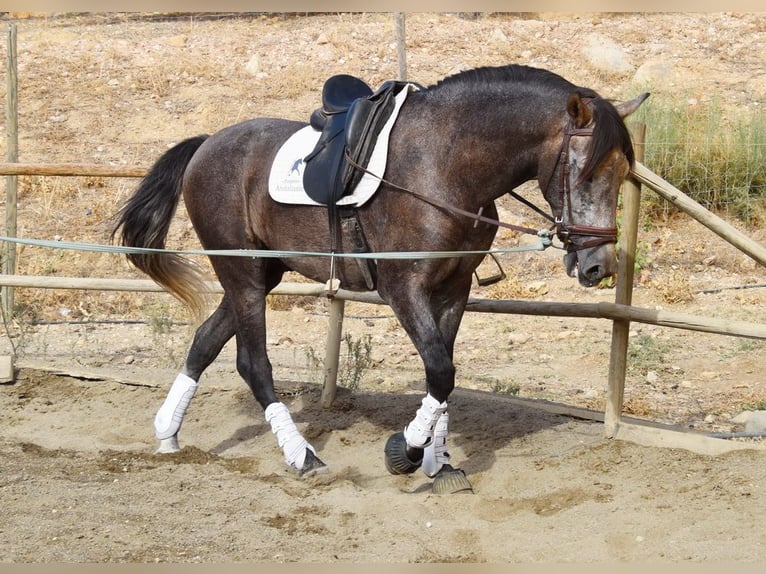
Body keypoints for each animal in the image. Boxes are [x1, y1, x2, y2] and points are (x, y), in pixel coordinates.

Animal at [112, 64, 648, 496]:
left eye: (623, 172)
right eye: (584, 172)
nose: (599, 267)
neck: (445, 164)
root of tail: (207, 144)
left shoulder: (454, 289)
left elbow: (443, 376)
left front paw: (441, 461)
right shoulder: (403, 289)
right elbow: (440, 371)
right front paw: (405, 453)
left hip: (264, 272)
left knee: (206, 339)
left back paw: (168, 432)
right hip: (242, 273)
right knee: (254, 364)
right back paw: (301, 455)